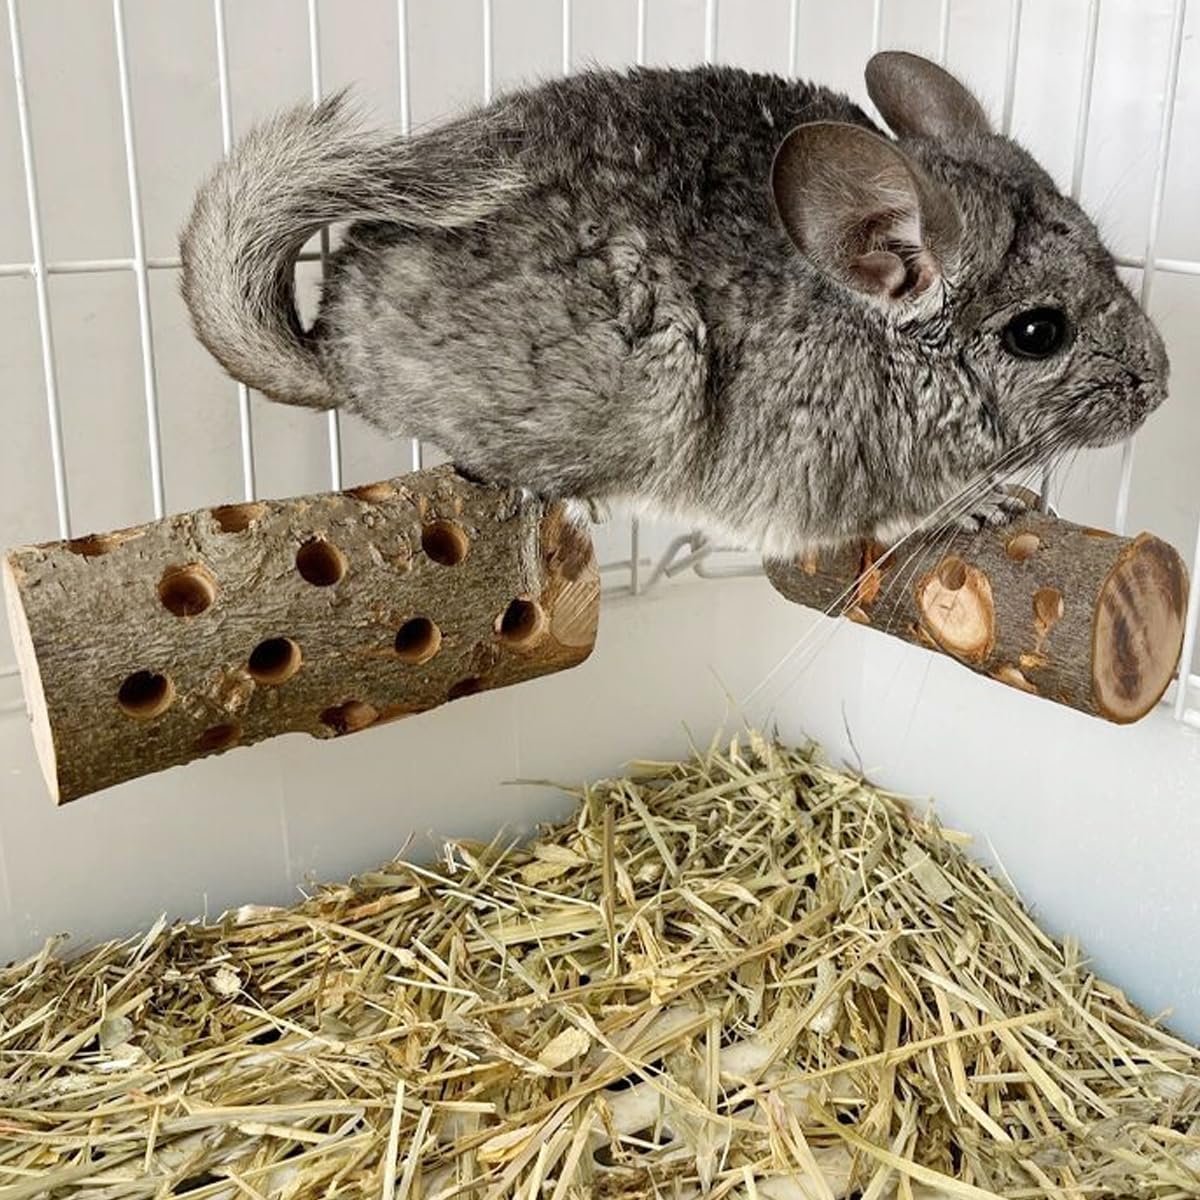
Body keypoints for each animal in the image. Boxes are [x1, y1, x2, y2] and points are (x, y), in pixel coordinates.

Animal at [179, 51, 1168, 558]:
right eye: (1039, 332)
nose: (1160, 389)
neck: (872, 339)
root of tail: (333, 339)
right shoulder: (819, 480)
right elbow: (889, 517)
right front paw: (978, 506)